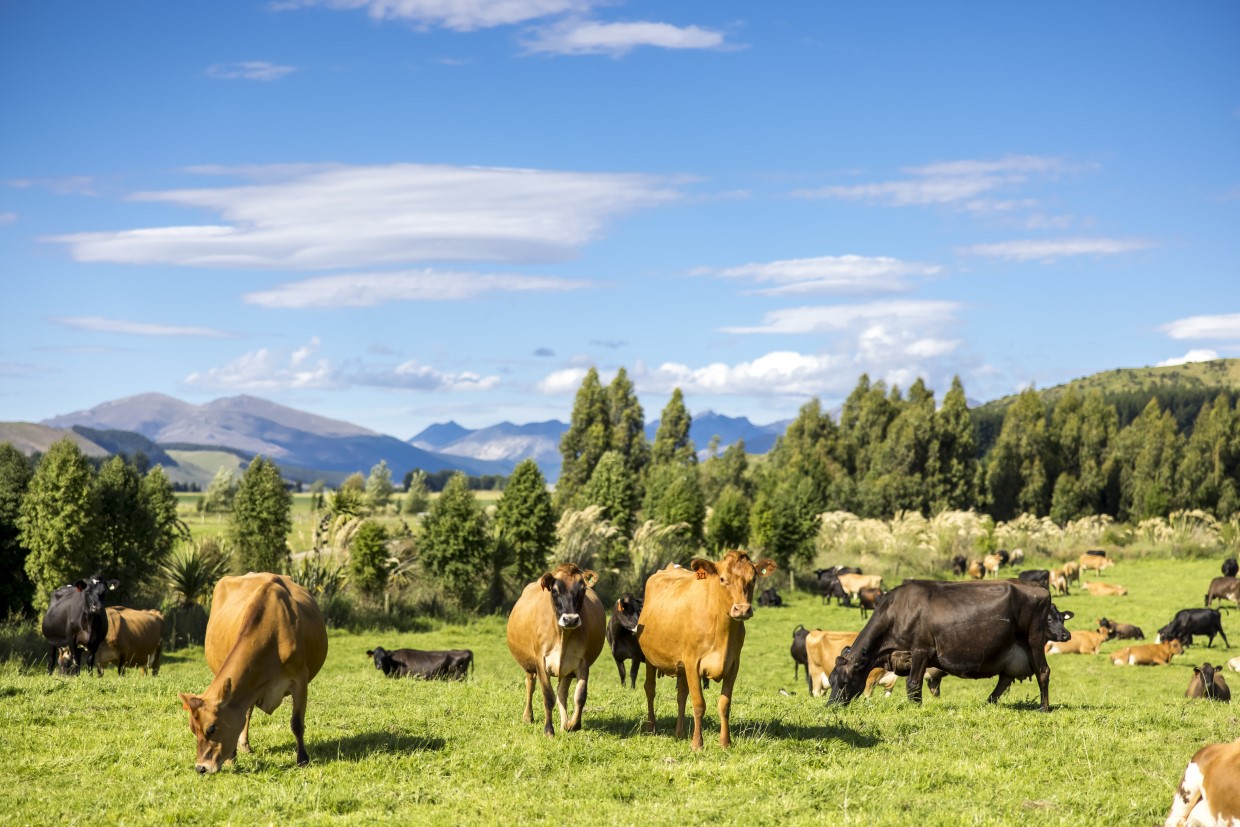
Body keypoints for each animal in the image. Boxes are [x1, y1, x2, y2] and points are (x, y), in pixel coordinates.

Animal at [179, 572, 327, 773]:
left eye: (211, 728)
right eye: (193, 730)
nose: (200, 768)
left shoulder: (300, 679)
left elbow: (297, 723)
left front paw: (303, 759)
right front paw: (231, 758)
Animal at [500, 562, 602, 738]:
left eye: (582, 589)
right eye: (555, 590)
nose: (570, 619)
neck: (563, 634)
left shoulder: (582, 662)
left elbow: (580, 696)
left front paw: (573, 725)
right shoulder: (541, 662)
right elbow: (548, 697)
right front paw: (548, 730)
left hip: (567, 671)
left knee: (562, 693)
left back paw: (565, 723)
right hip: (530, 665)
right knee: (530, 685)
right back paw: (528, 717)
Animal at [639, 552, 773, 753]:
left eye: (754, 579)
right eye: (722, 579)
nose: (742, 609)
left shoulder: (733, 665)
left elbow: (724, 704)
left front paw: (725, 742)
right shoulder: (692, 662)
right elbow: (699, 704)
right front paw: (697, 744)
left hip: (681, 666)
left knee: (681, 695)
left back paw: (679, 733)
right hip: (651, 658)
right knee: (650, 688)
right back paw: (651, 727)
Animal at [823, 575, 1076, 714]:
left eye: (844, 682)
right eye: (831, 681)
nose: (830, 706)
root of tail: (1039, 588)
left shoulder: (921, 650)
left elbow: (913, 684)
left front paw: (915, 708)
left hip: (1034, 641)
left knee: (1043, 671)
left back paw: (1044, 708)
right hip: (1012, 651)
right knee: (1005, 679)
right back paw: (988, 703)